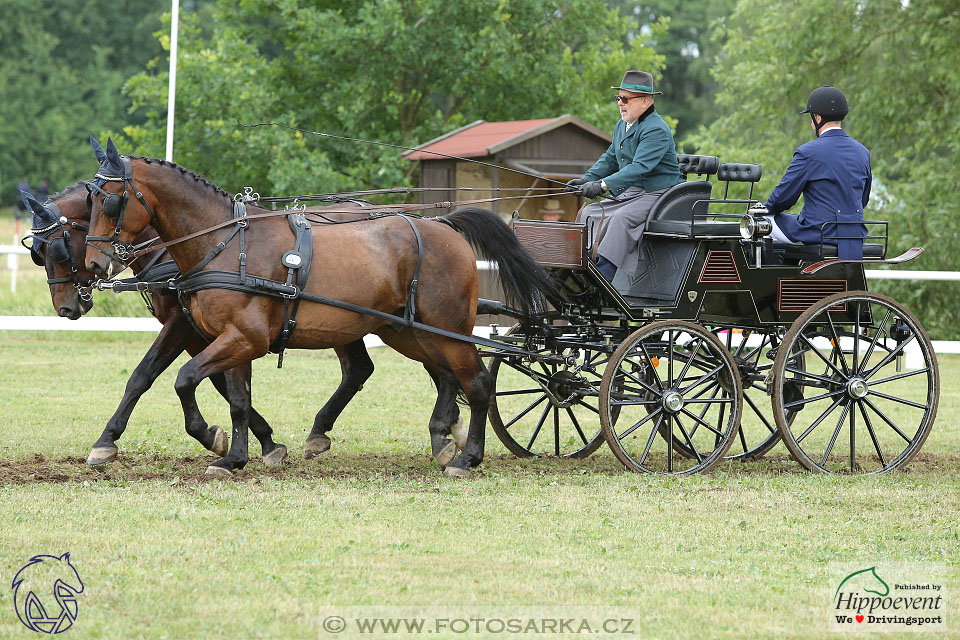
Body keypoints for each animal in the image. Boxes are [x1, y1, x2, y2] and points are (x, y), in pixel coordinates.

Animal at [85, 141, 552, 480]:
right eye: (88, 203)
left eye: (110, 202)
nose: (93, 265)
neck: (224, 244)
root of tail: (444, 226)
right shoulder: (232, 339)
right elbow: (237, 399)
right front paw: (234, 456)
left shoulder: (244, 338)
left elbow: (184, 380)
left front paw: (210, 436)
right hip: (408, 331)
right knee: (444, 376)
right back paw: (442, 438)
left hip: (445, 328)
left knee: (477, 383)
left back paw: (466, 457)